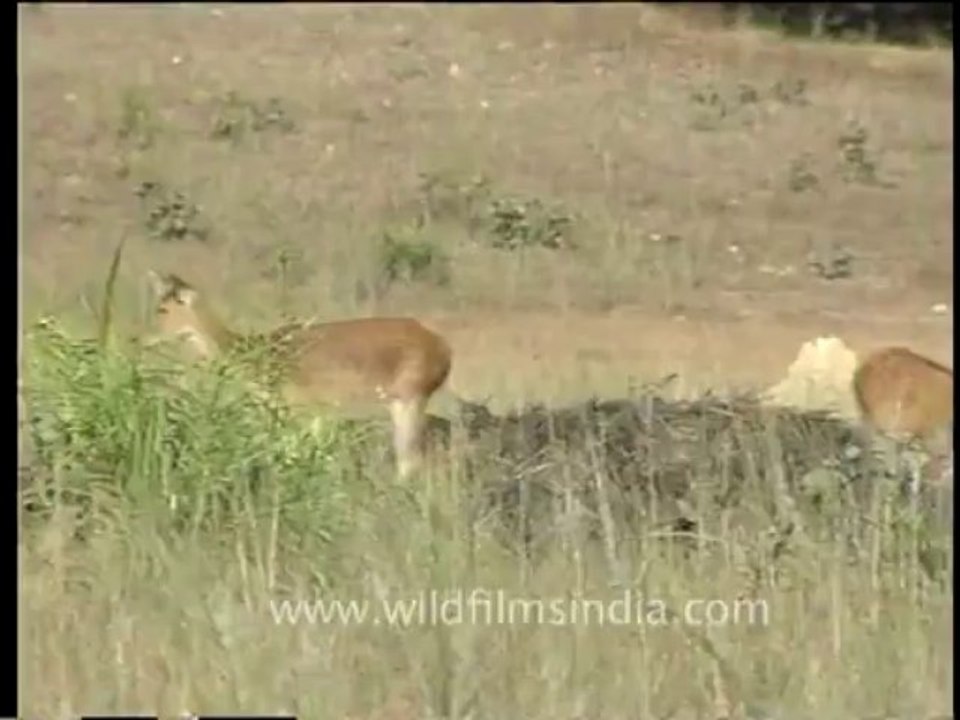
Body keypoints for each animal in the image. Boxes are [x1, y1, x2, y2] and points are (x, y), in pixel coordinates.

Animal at [145, 271, 453, 480]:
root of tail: (442, 348)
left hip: (409, 399)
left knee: (410, 461)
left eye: (163, 308)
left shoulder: (302, 411)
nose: (144, 339)